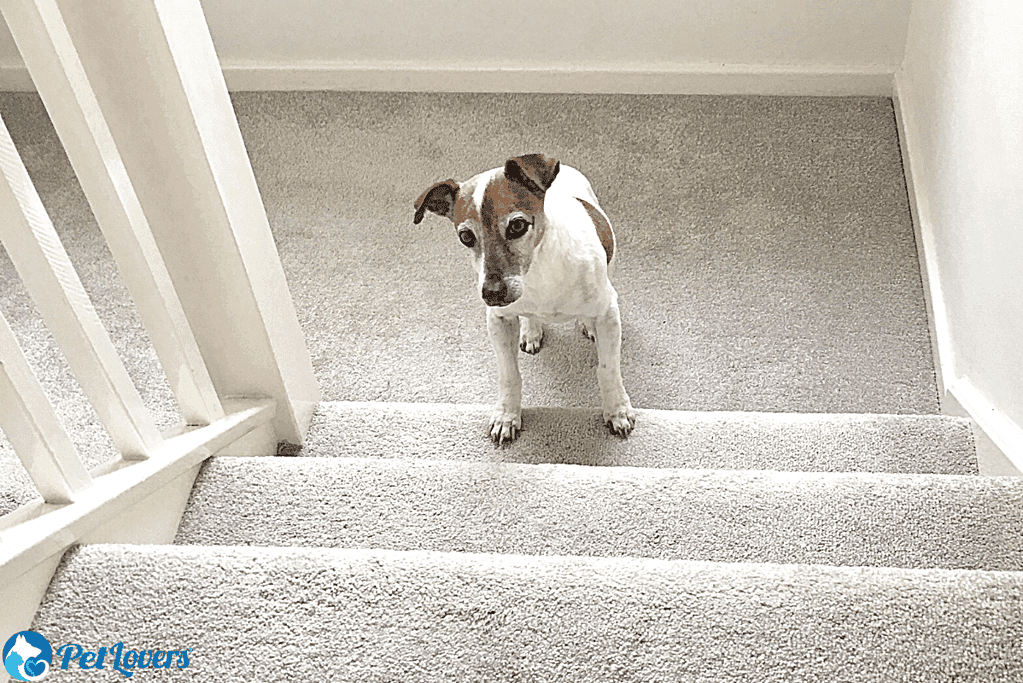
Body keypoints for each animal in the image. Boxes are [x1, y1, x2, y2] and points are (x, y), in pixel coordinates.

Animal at [411, 154, 634, 443]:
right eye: (466, 237)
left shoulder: (608, 314)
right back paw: (531, 330)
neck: (537, 272)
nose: (491, 293)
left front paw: (617, 410)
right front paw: (507, 415)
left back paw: (586, 323)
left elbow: (608, 369)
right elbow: (509, 375)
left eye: (517, 225)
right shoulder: (499, 320)